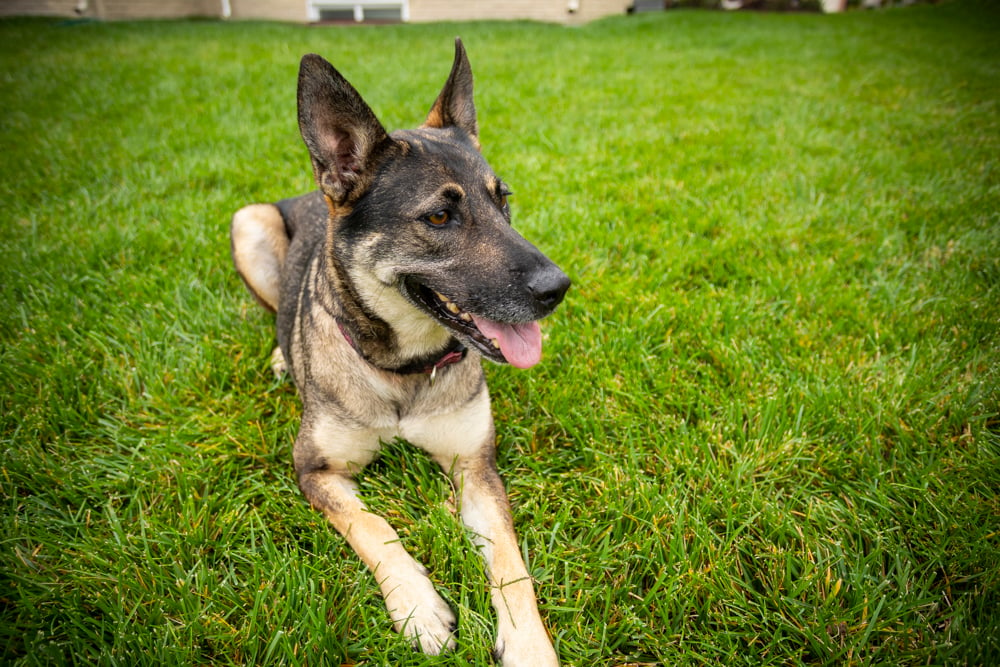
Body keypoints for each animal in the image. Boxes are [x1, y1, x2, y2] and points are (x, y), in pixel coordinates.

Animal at [229, 39, 568, 664]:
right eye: (439, 216)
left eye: (503, 202)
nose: (558, 289)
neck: (403, 369)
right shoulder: (315, 469)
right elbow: (372, 526)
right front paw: (417, 606)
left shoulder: (474, 465)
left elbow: (511, 564)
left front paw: (529, 645)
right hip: (250, 222)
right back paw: (283, 357)